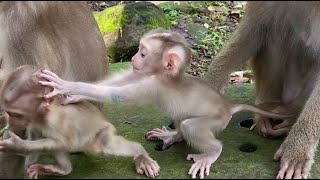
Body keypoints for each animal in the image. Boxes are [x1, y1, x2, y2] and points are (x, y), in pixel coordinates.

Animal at [0, 64, 159, 179]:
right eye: (8, 113)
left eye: (16, 114)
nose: (11, 123)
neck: (43, 114)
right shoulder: (33, 122)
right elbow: (37, 138)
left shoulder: (57, 121)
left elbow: (63, 143)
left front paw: (17, 146)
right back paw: (63, 169)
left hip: (101, 133)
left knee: (106, 143)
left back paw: (140, 154)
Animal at [36, 28, 292, 179]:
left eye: (142, 53)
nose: (132, 58)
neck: (166, 76)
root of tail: (227, 105)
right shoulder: (143, 76)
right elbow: (116, 84)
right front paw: (75, 95)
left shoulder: (154, 83)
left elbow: (117, 94)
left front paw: (66, 86)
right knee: (182, 120)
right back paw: (174, 135)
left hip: (218, 120)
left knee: (192, 126)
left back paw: (210, 152)